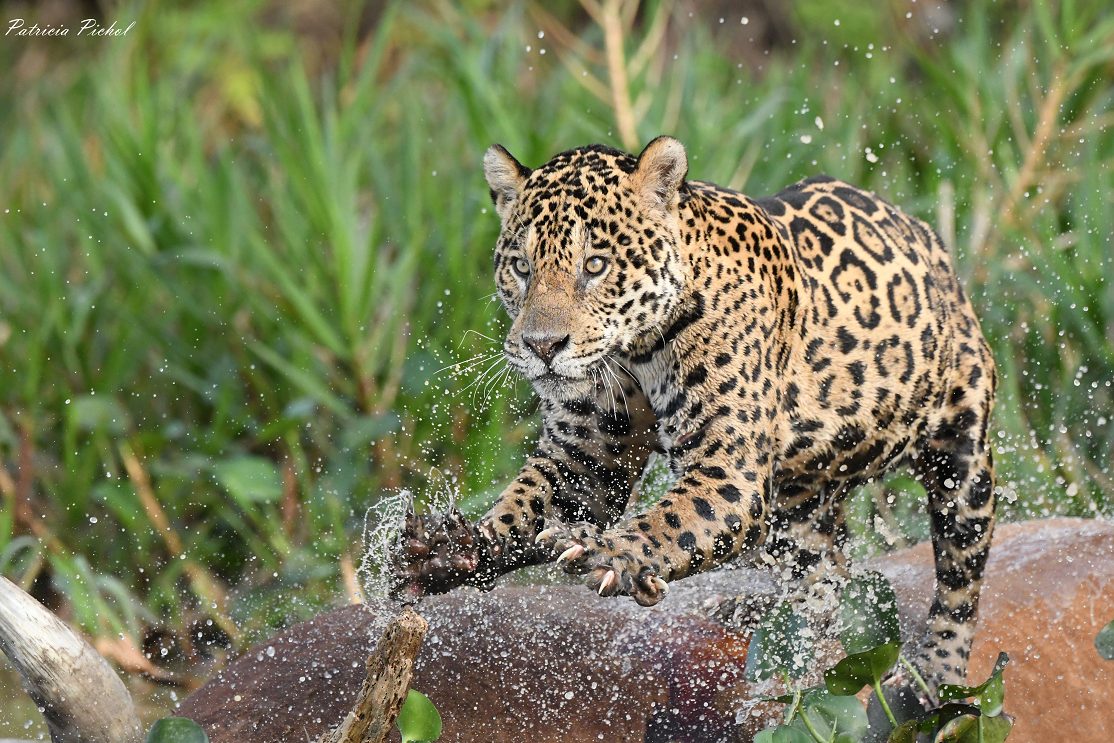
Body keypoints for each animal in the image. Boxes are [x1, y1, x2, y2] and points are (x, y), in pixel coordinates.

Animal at [395, 136, 997, 692]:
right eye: (521, 267)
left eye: (595, 265)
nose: (542, 346)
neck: (636, 350)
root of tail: (928, 240)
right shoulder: (588, 459)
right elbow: (524, 506)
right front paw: (455, 550)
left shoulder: (727, 470)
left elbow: (669, 521)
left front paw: (610, 553)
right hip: (797, 514)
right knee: (828, 581)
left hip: (963, 458)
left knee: (960, 581)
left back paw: (936, 678)